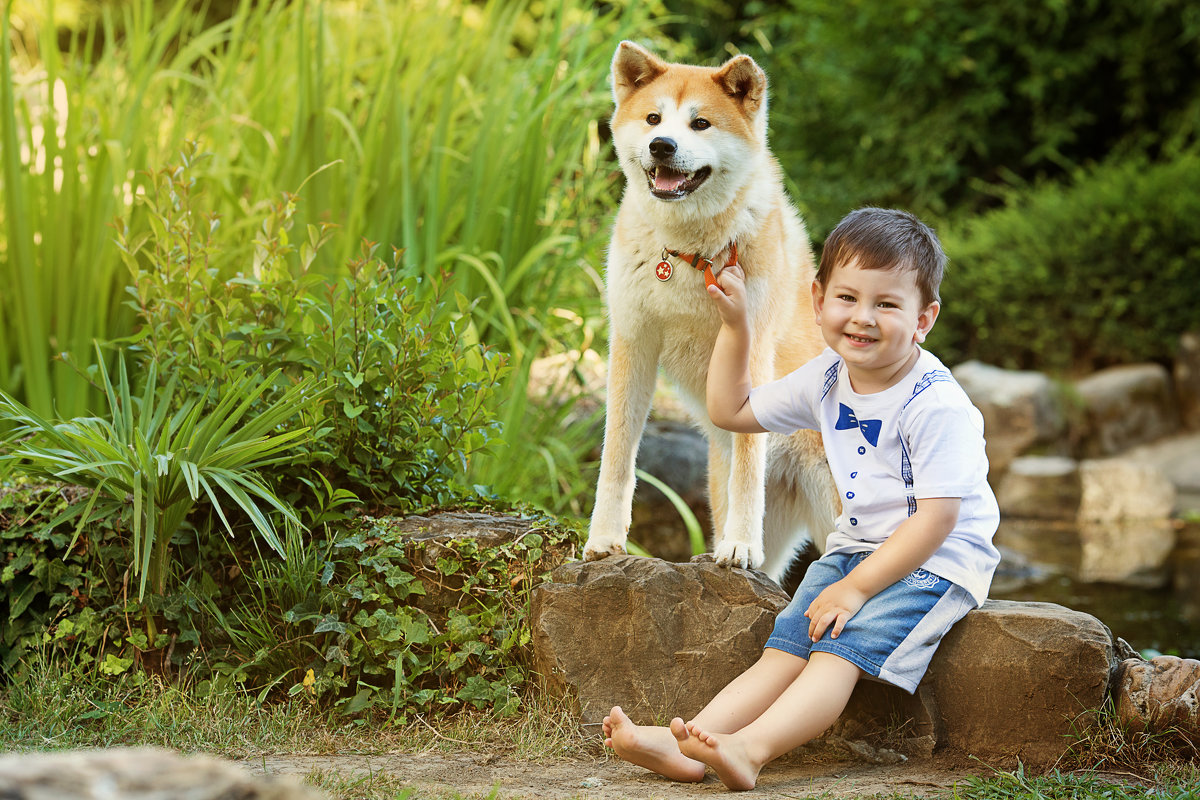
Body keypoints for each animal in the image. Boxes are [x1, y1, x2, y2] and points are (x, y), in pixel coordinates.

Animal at [580, 40, 835, 585]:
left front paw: (738, 546)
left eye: (700, 124)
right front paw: (604, 541)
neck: (685, 254)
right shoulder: (633, 344)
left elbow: (747, 466)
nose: (662, 146)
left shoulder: (751, 354)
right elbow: (617, 457)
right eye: (654, 119)